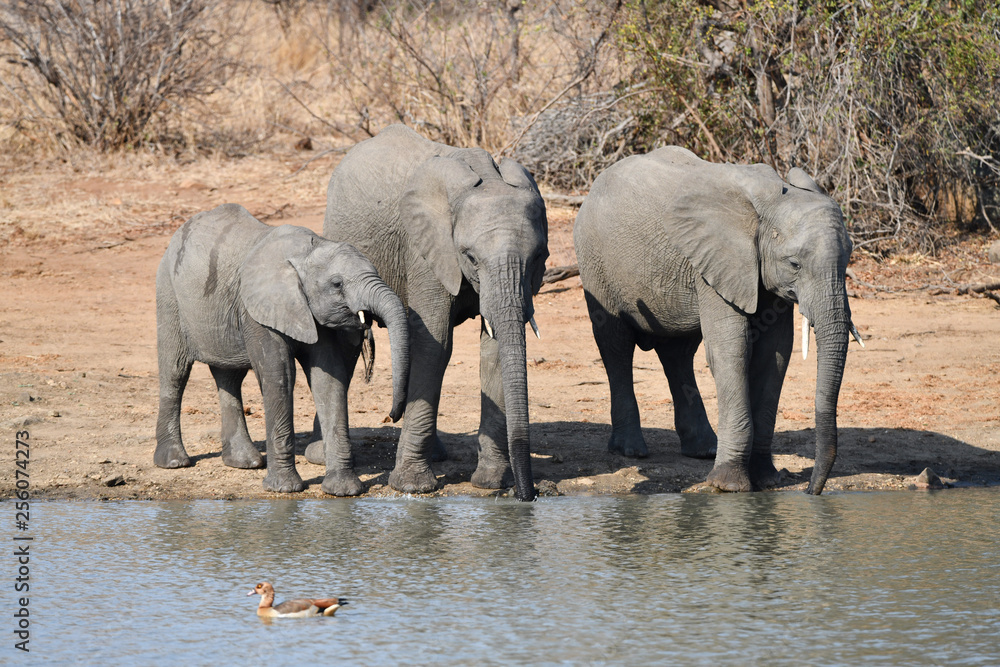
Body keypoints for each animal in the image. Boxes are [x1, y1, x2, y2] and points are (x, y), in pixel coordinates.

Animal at [154, 203, 409, 496]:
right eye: (337, 284)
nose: (391, 417)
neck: (307, 251)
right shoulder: (258, 310)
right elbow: (280, 376)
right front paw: (285, 489)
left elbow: (328, 380)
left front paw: (344, 491)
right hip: (169, 295)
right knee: (175, 372)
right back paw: (173, 462)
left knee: (229, 376)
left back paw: (244, 462)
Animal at [317, 124, 548, 501]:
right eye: (470, 257)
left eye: (538, 257)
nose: (528, 496)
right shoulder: (424, 250)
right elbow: (435, 343)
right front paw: (413, 486)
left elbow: (495, 347)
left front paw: (492, 482)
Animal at [574, 146, 861, 495]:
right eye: (794, 264)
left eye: (848, 258)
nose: (810, 491)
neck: (772, 200)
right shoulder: (717, 263)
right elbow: (731, 351)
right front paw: (729, 486)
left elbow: (775, 356)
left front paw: (767, 481)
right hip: (596, 263)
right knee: (615, 345)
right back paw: (630, 450)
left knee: (678, 354)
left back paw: (703, 449)